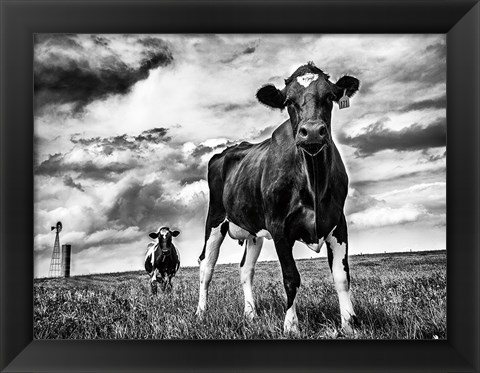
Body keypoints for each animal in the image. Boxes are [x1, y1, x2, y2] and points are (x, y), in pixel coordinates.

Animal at [196, 61, 360, 334]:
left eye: (329, 96)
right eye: (289, 101)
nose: (311, 132)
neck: (313, 181)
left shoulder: (338, 223)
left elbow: (341, 277)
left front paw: (349, 323)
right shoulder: (279, 227)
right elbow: (291, 277)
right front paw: (291, 326)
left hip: (253, 230)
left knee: (246, 269)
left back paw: (250, 314)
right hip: (215, 218)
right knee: (206, 265)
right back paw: (201, 313)